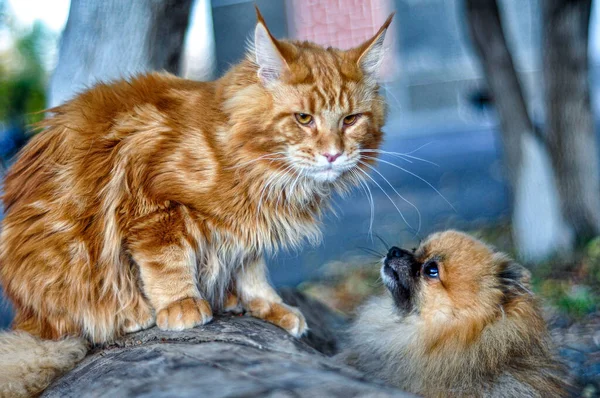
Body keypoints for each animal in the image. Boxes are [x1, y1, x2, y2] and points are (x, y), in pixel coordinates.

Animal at [0, 7, 392, 396]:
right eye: (304, 118)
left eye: (351, 119)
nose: (333, 154)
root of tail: (25, 315)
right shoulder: (152, 208)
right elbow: (167, 263)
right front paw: (181, 304)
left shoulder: (247, 230)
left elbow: (252, 272)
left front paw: (268, 306)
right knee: (74, 321)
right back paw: (132, 315)